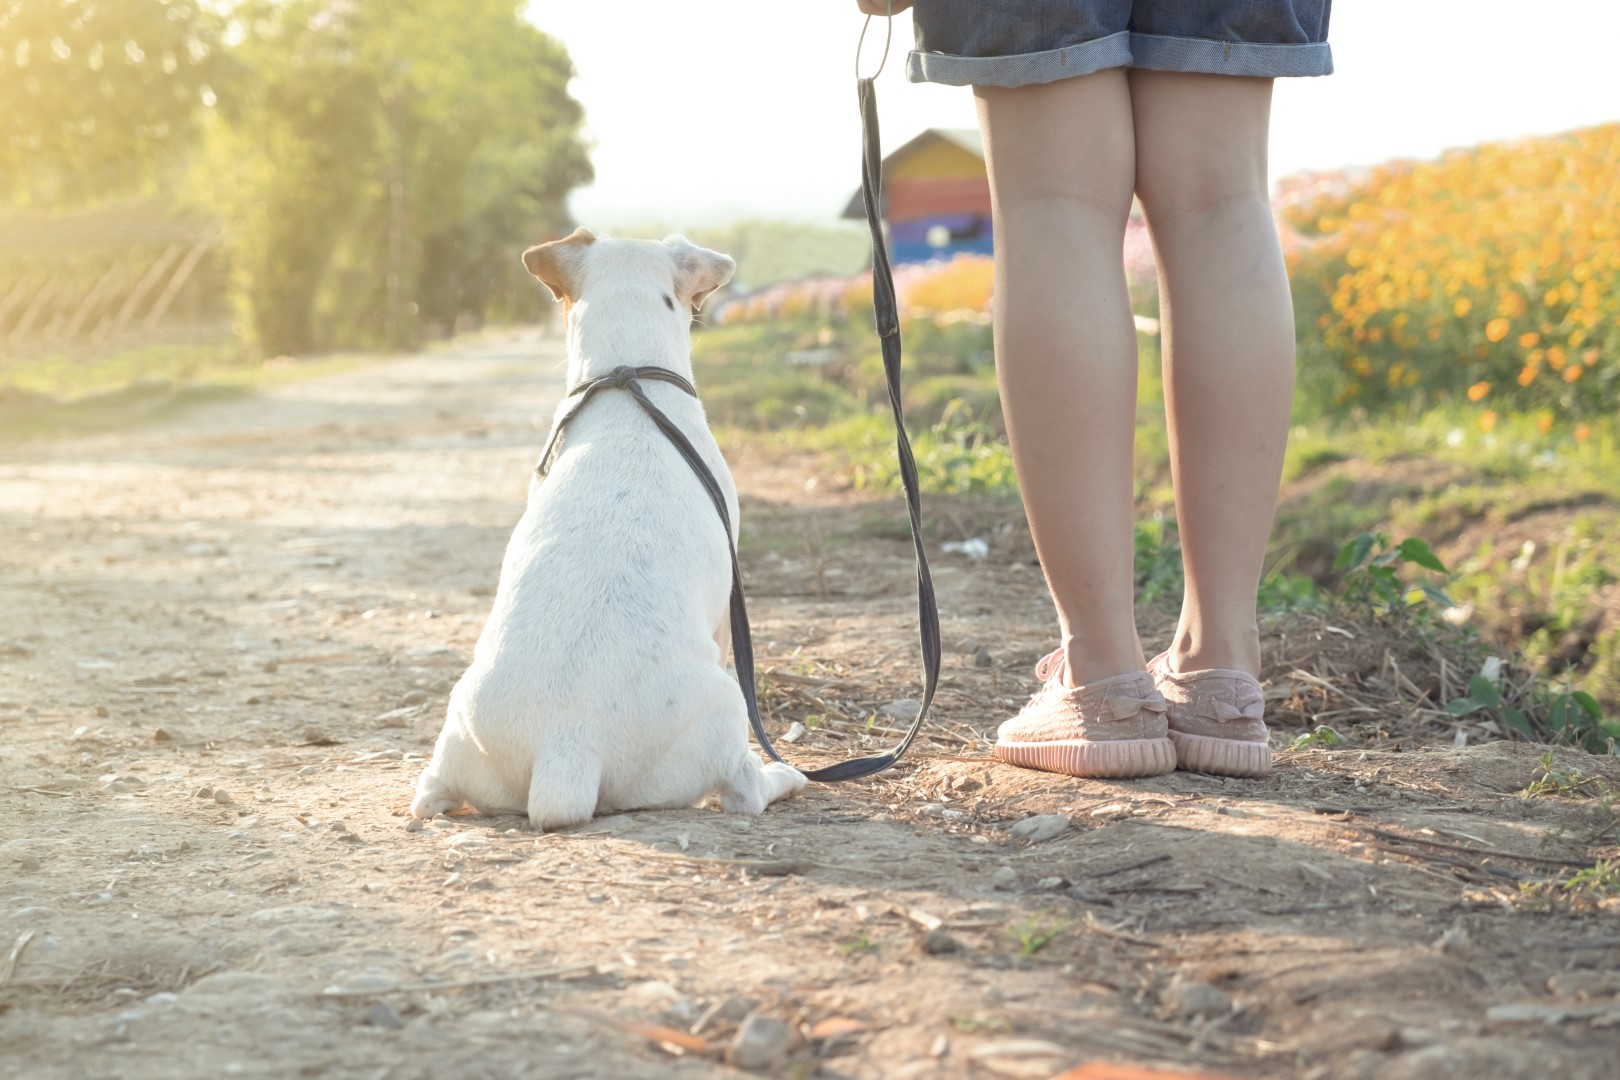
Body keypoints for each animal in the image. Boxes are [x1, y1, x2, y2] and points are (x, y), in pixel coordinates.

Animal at [408, 233, 806, 835]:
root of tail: (567, 744)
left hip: (461, 733)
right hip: (724, 709)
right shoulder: (723, 618)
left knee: (431, 790)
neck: (628, 377)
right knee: (742, 789)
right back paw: (783, 776)